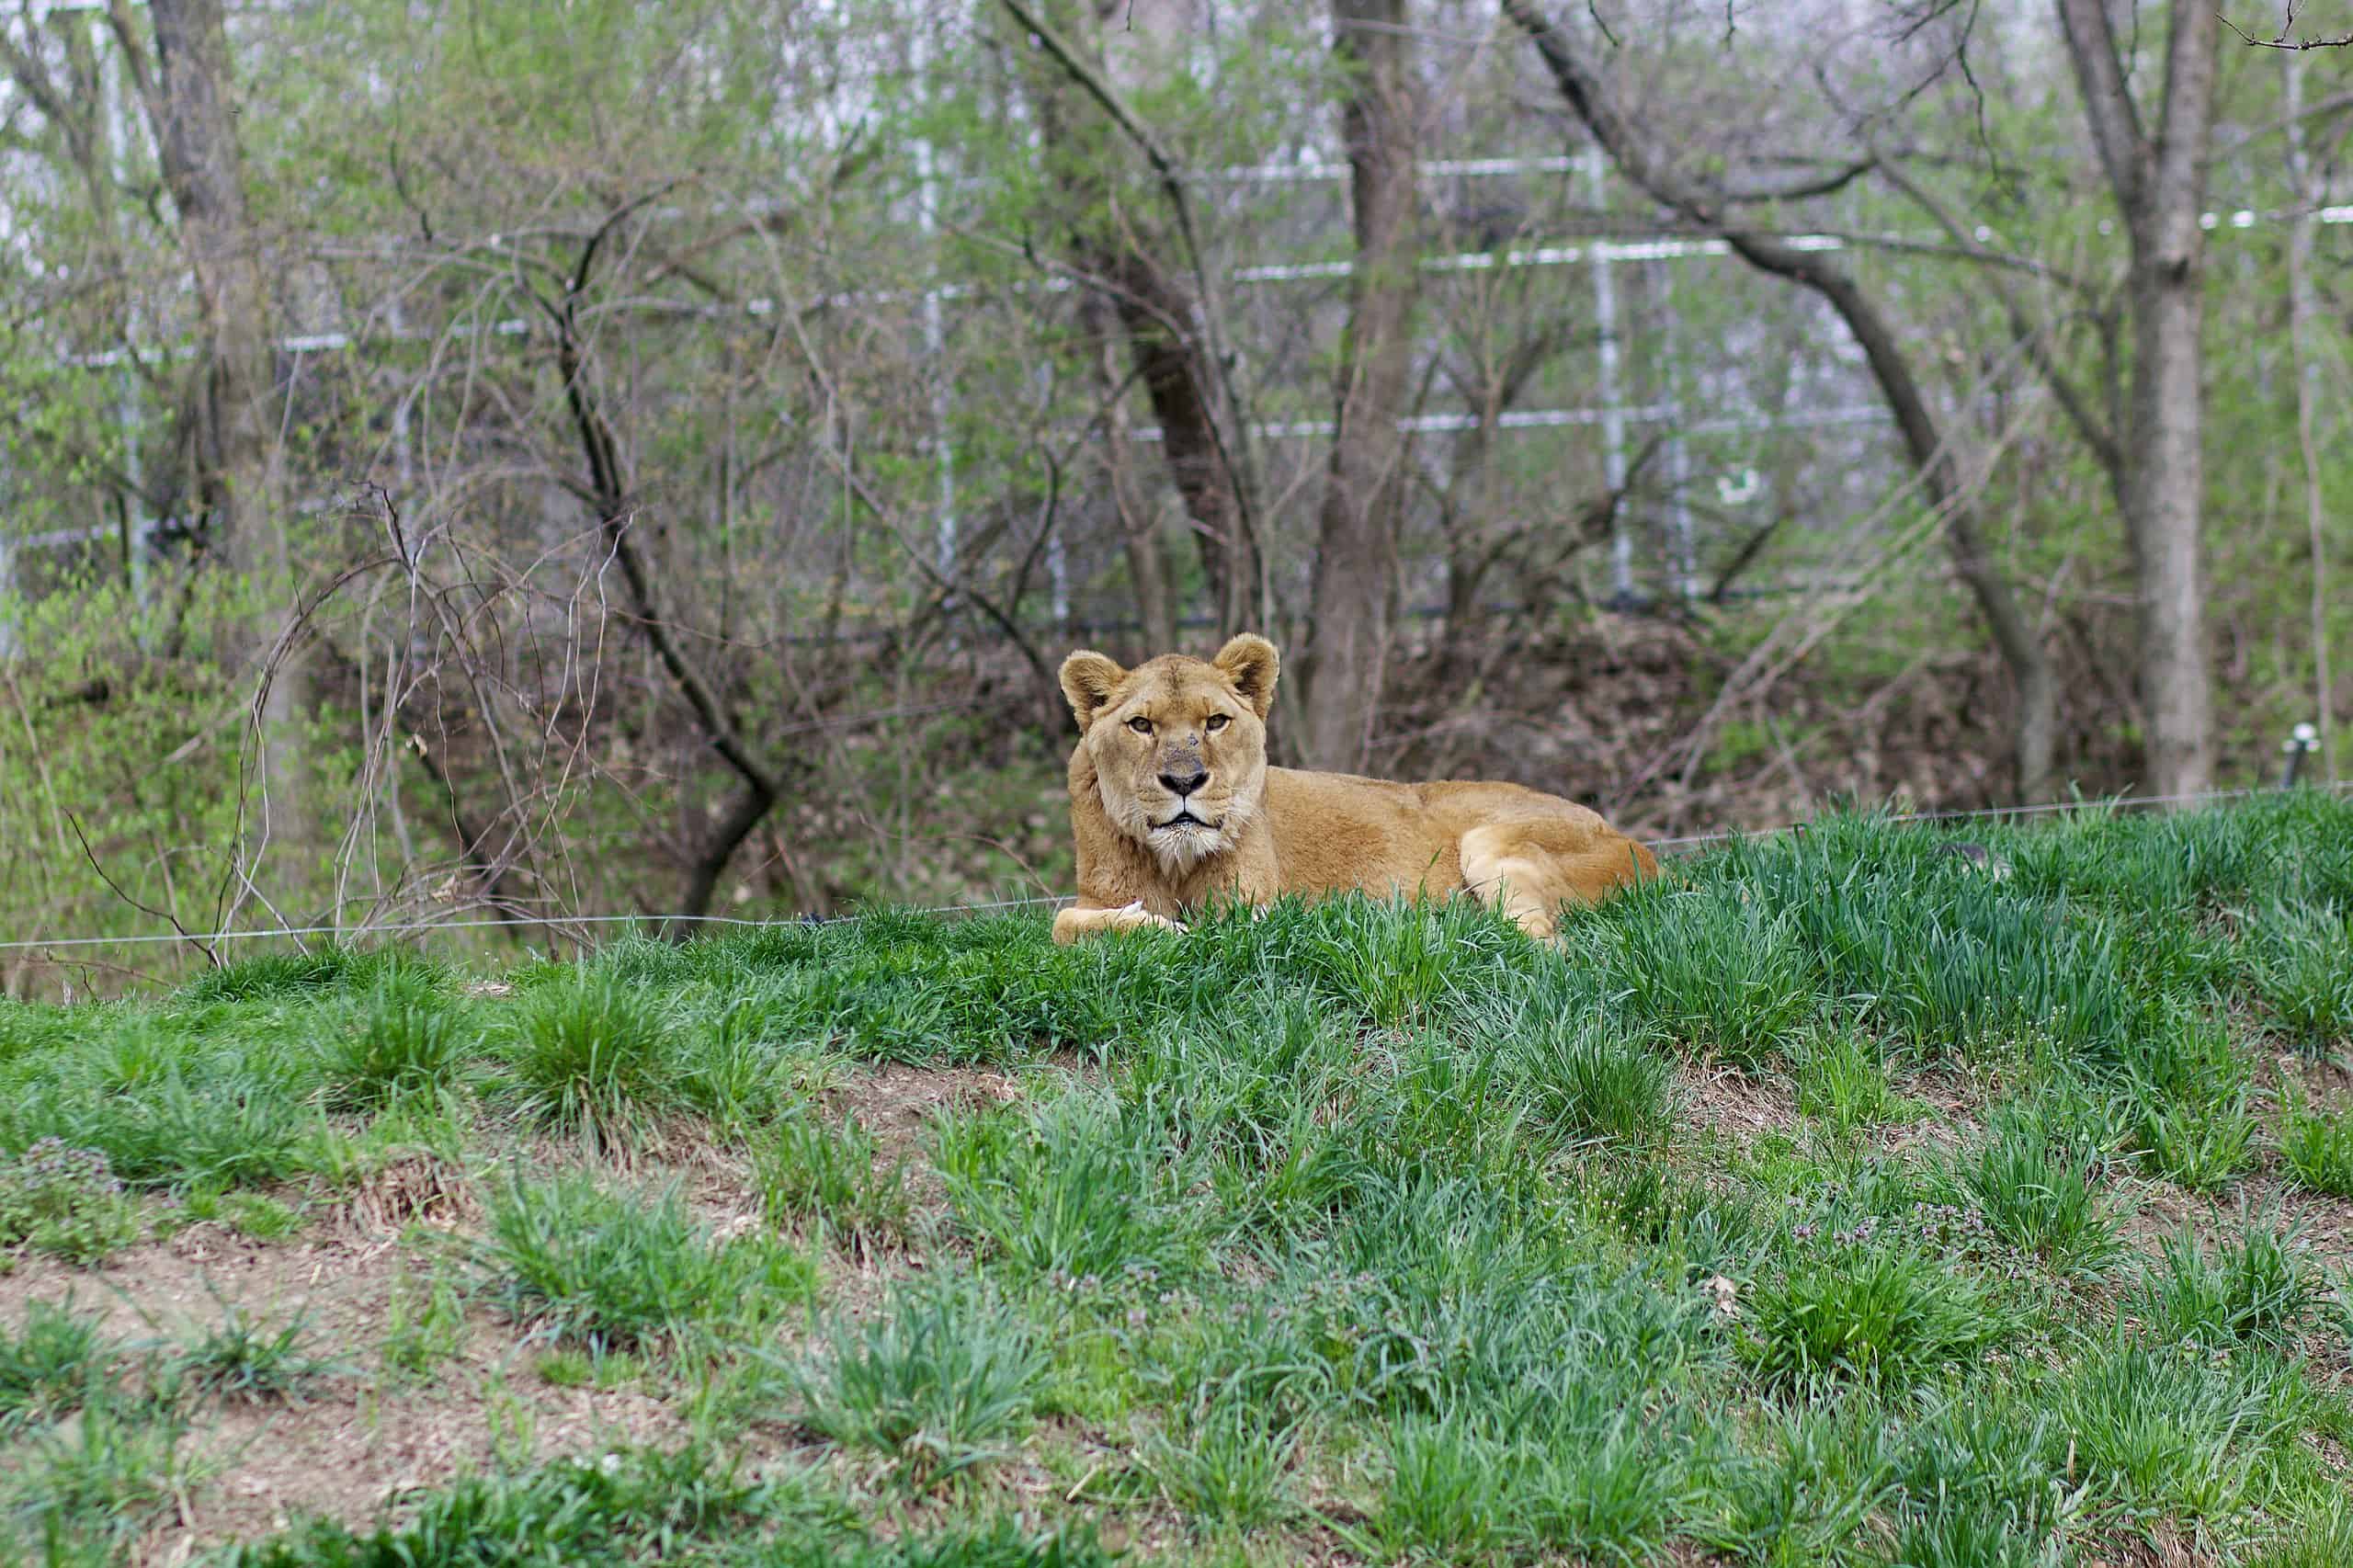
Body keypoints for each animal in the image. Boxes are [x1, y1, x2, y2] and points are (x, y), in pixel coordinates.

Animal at [1050, 633, 1657, 944]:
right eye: (1141, 725)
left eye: (1216, 721)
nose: (1184, 781)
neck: (1172, 862)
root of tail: (1646, 853)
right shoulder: (1093, 899)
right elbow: (1064, 924)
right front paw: (1148, 924)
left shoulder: (1255, 907)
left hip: (1493, 841)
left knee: (1547, 945)